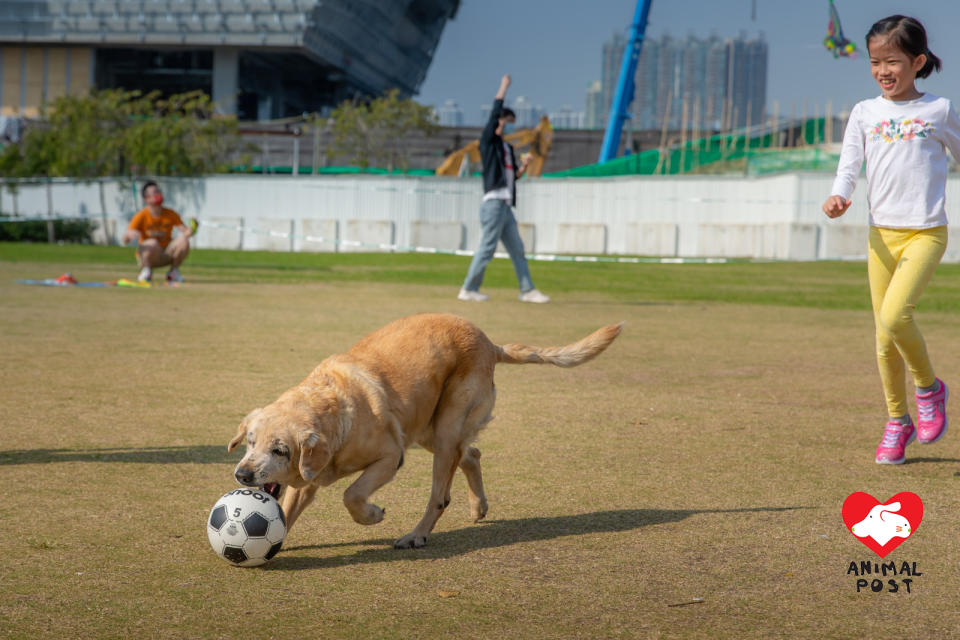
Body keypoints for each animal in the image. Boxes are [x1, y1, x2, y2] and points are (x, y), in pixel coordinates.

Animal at [228, 312, 620, 548]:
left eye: (281, 450)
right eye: (250, 442)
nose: (242, 475)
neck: (336, 405)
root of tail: (491, 343)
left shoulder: (390, 456)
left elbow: (352, 495)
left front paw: (373, 516)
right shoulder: (307, 481)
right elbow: (287, 512)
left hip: (444, 427)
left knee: (441, 494)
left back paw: (416, 536)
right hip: (428, 428)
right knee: (471, 453)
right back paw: (478, 507)